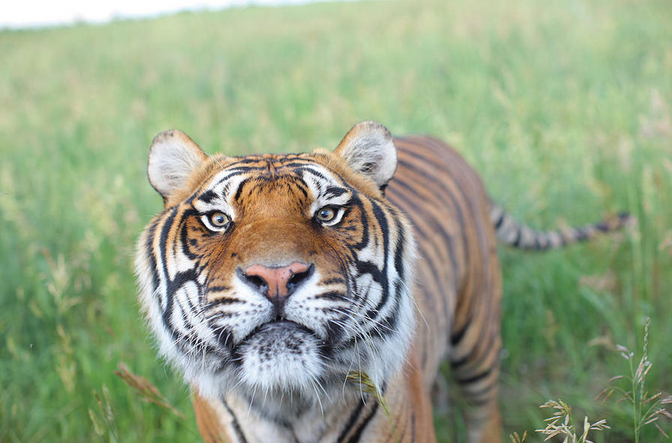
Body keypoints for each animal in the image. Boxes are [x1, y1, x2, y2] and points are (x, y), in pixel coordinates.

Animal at [135, 121, 631, 443]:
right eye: (219, 220)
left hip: (477, 337)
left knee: (483, 412)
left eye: (327, 214)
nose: (276, 276)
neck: (291, 401)